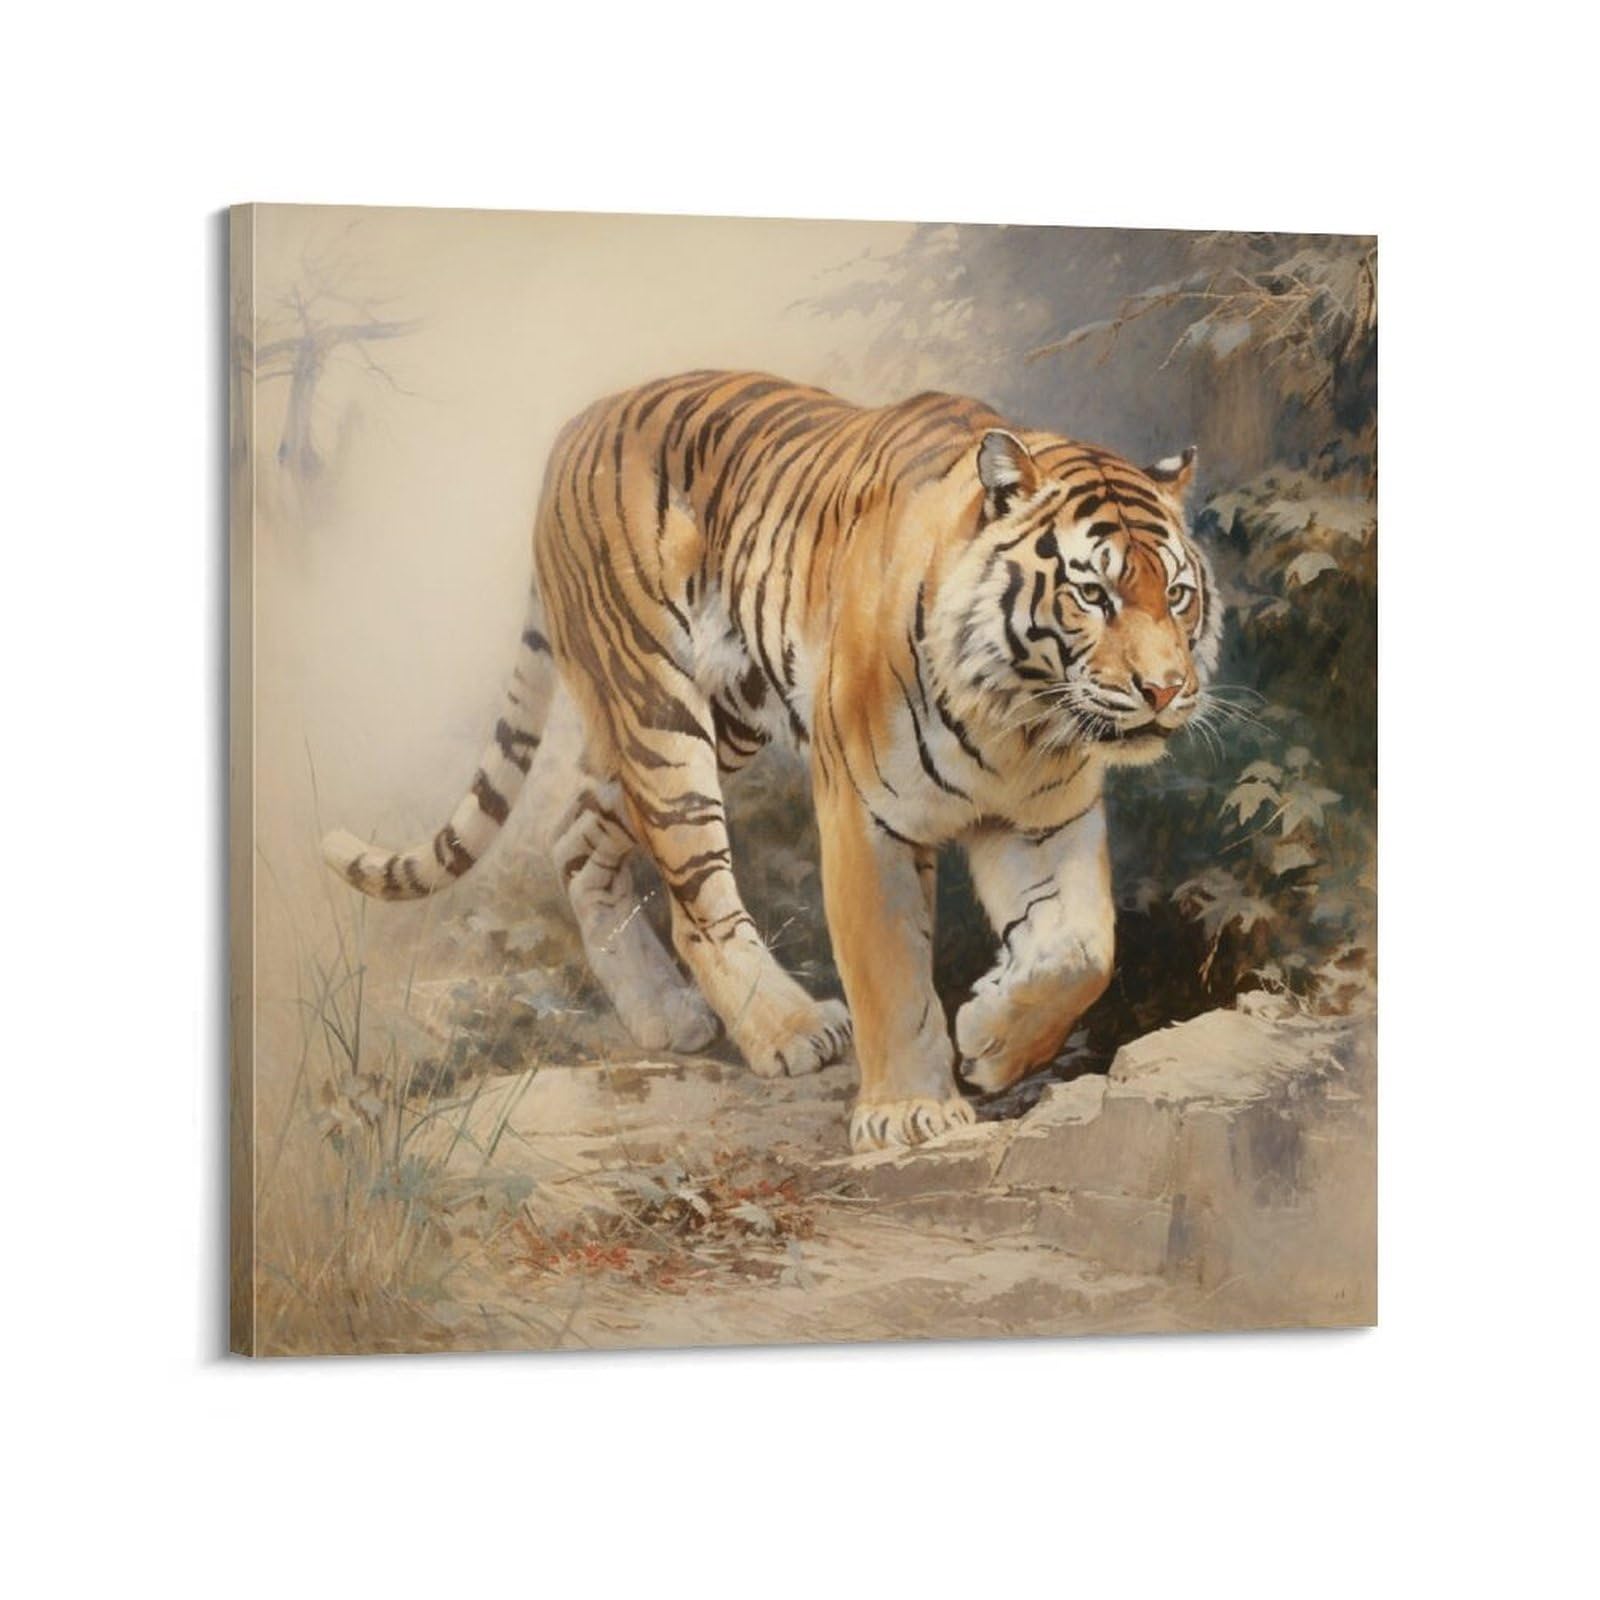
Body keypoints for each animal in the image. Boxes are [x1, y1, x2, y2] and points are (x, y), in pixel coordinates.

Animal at [323, 371, 1218, 1153]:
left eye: (1177, 595)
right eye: (1093, 594)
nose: (1165, 688)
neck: (1020, 717)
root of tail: (573, 430)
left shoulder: (1045, 818)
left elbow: (1084, 950)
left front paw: (992, 1040)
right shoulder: (867, 814)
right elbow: (891, 970)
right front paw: (909, 1112)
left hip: (716, 721)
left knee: (577, 834)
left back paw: (664, 1016)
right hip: (659, 716)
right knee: (696, 901)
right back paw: (790, 1028)